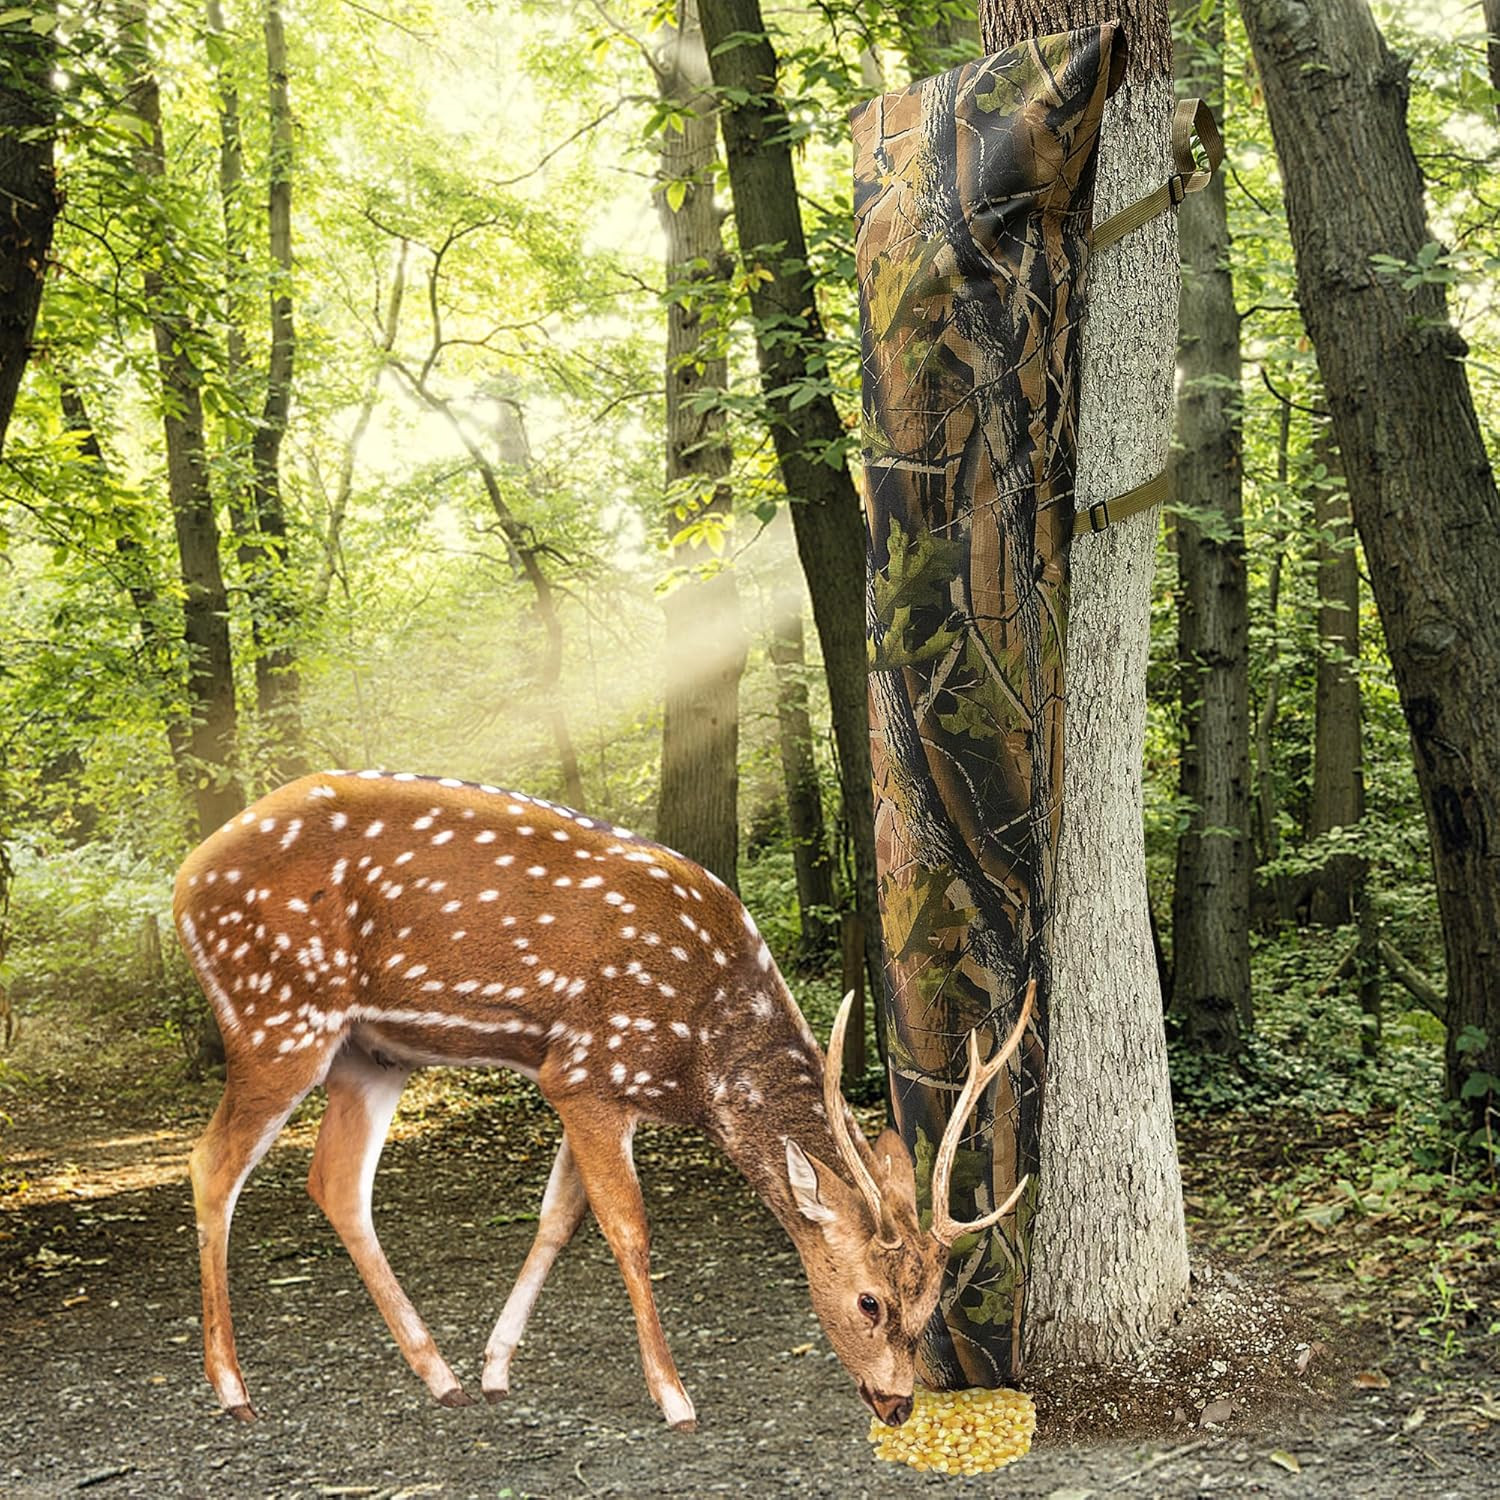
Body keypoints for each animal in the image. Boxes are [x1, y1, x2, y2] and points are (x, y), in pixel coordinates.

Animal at [174, 770, 1033, 1431]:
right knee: (212, 1163)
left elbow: (559, 1218)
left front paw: (496, 1368)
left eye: (932, 1304)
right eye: (868, 1302)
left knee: (336, 1182)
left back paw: (441, 1378)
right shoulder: (586, 1070)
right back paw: (233, 1391)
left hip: (371, 1054)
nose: (897, 1406)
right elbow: (627, 1230)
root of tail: (183, 882)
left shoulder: (579, 1078)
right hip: (277, 1014)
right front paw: (675, 1398)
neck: (702, 1057)